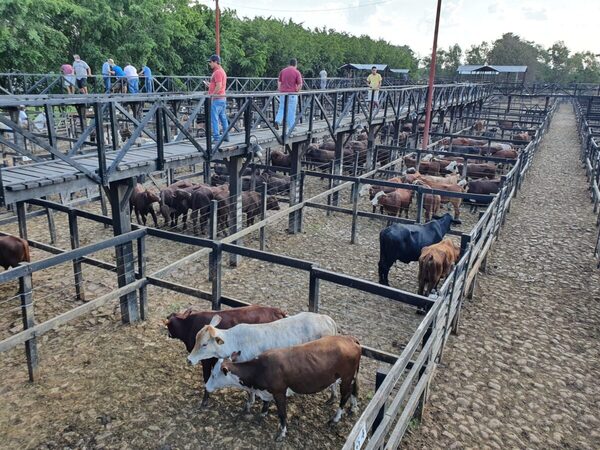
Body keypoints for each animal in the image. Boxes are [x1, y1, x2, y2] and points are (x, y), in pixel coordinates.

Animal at [188, 312, 338, 412]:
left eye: (204, 344)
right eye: (195, 338)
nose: (189, 360)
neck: (235, 342)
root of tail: (327, 319)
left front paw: (251, 405)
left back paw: (333, 398)